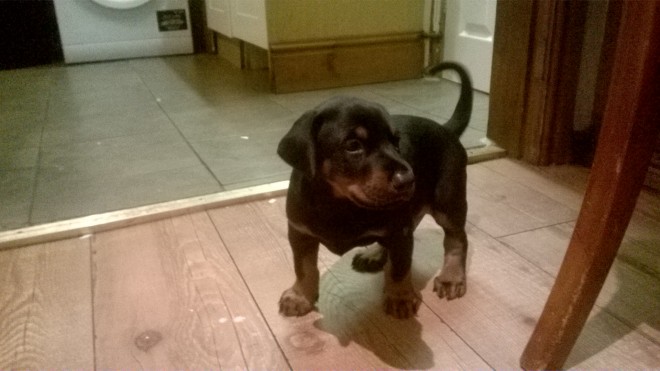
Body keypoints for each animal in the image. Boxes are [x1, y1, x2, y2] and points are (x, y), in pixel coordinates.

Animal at [276, 61, 472, 320]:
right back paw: (375, 255)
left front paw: (400, 297)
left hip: (448, 200)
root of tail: (445, 128)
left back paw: (451, 277)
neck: (339, 204)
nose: (409, 179)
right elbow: (303, 266)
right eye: (353, 145)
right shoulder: (300, 232)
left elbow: (400, 268)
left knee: (457, 238)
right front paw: (300, 296)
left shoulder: (399, 230)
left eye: (396, 142)